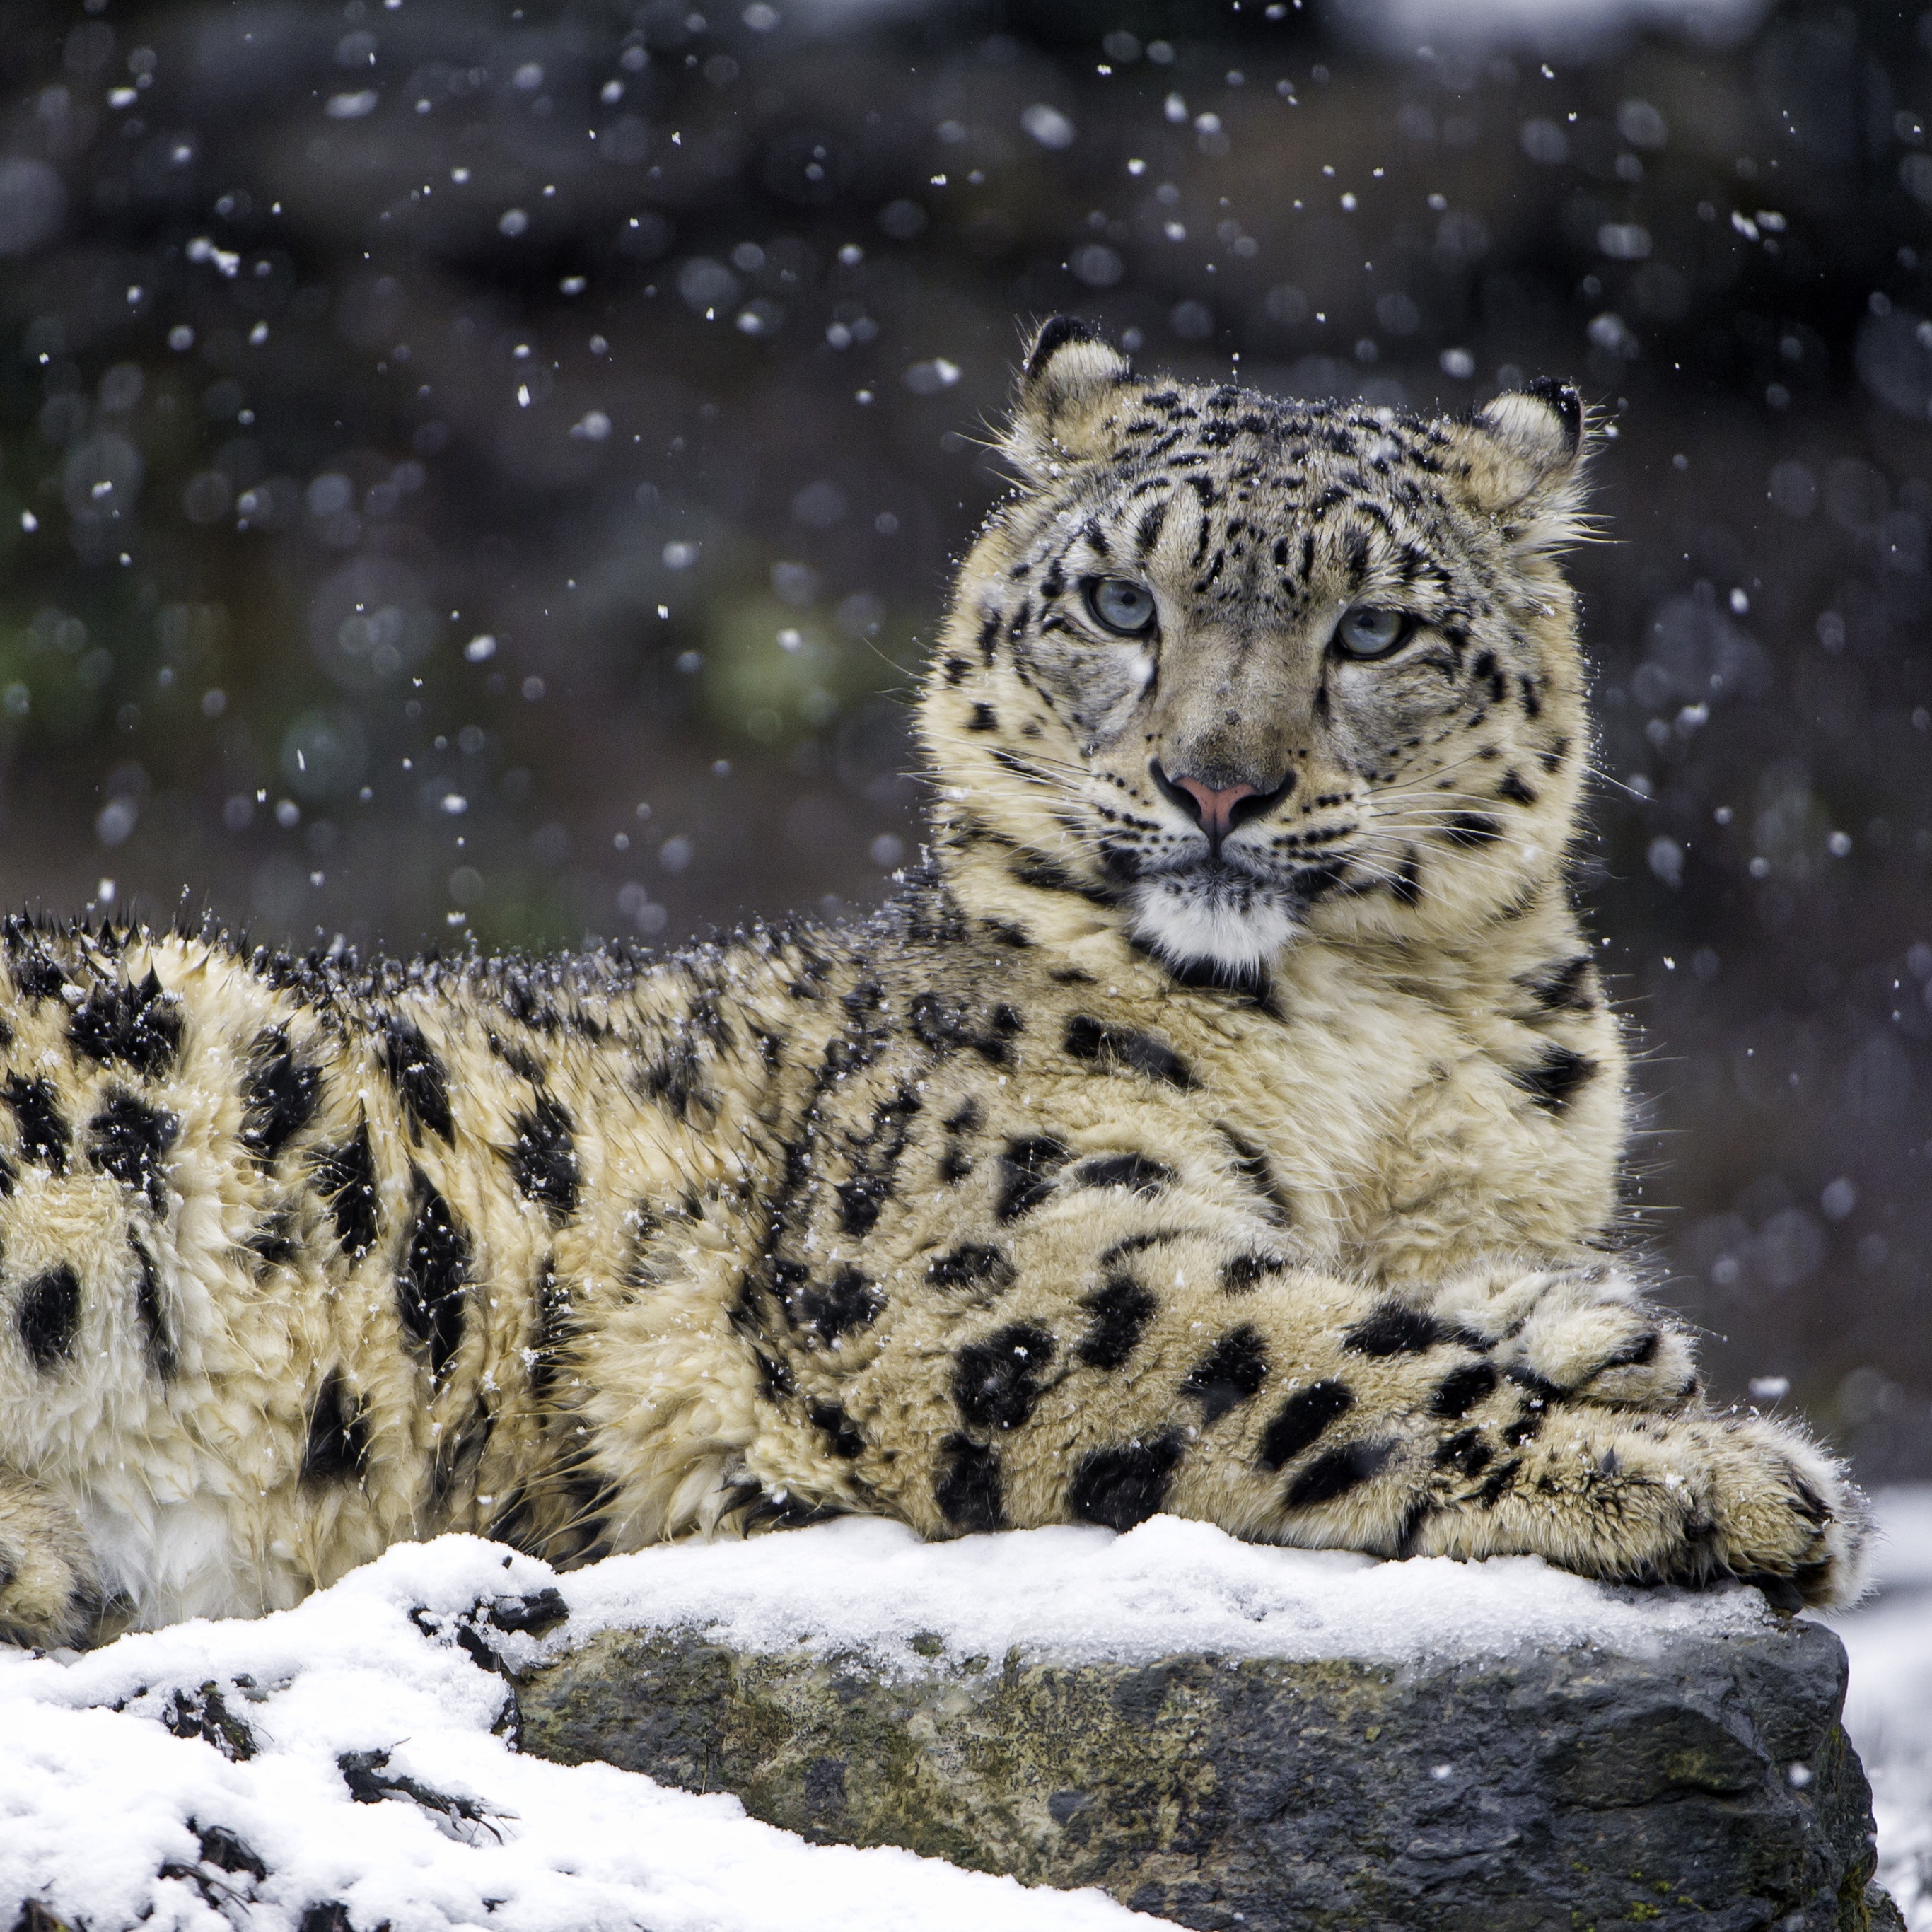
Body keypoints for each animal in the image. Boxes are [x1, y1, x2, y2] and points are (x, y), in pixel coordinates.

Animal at [0, 316, 1867, 1648]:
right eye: (1118, 601)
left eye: (1372, 631)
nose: (1214, 784)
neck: (1368, 1039)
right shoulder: (984, 1259)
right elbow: (1319, 1360)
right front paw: (1731, 1478)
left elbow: (1412, 1289)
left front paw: (1599, 1329)